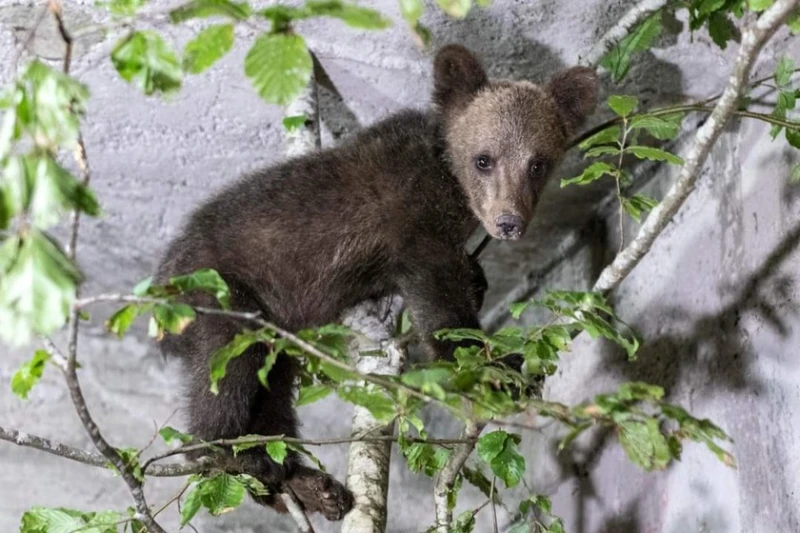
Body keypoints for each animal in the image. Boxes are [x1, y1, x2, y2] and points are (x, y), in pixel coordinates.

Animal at [153, 44, 596, 520]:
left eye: (537, 163)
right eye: (484, 158)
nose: (509, 221)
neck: (449, 185)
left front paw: (480, 285)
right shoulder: (414, 225)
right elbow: (440, 305)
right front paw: (496, 366)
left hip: (277, 328)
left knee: (273, 389)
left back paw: (306, 484)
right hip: (222, 292)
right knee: (228, 367)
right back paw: (237, 456)